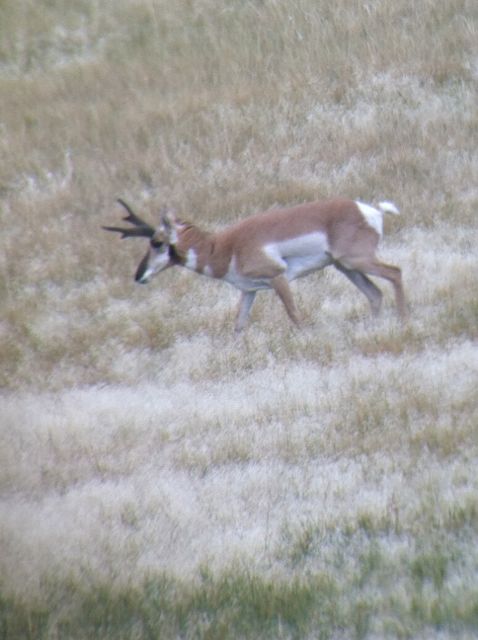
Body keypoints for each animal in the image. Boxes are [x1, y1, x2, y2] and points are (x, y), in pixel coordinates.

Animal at [103, 199, 408, 330]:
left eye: (156, 242)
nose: (138, 276)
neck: (224, 246)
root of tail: (368, 209)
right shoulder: (248, 291)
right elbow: (238, 326)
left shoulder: (277, 278)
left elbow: (295, 316)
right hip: (346, 267)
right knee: (374, 293)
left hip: (356, 261)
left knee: (395, 273)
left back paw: (403, 320)